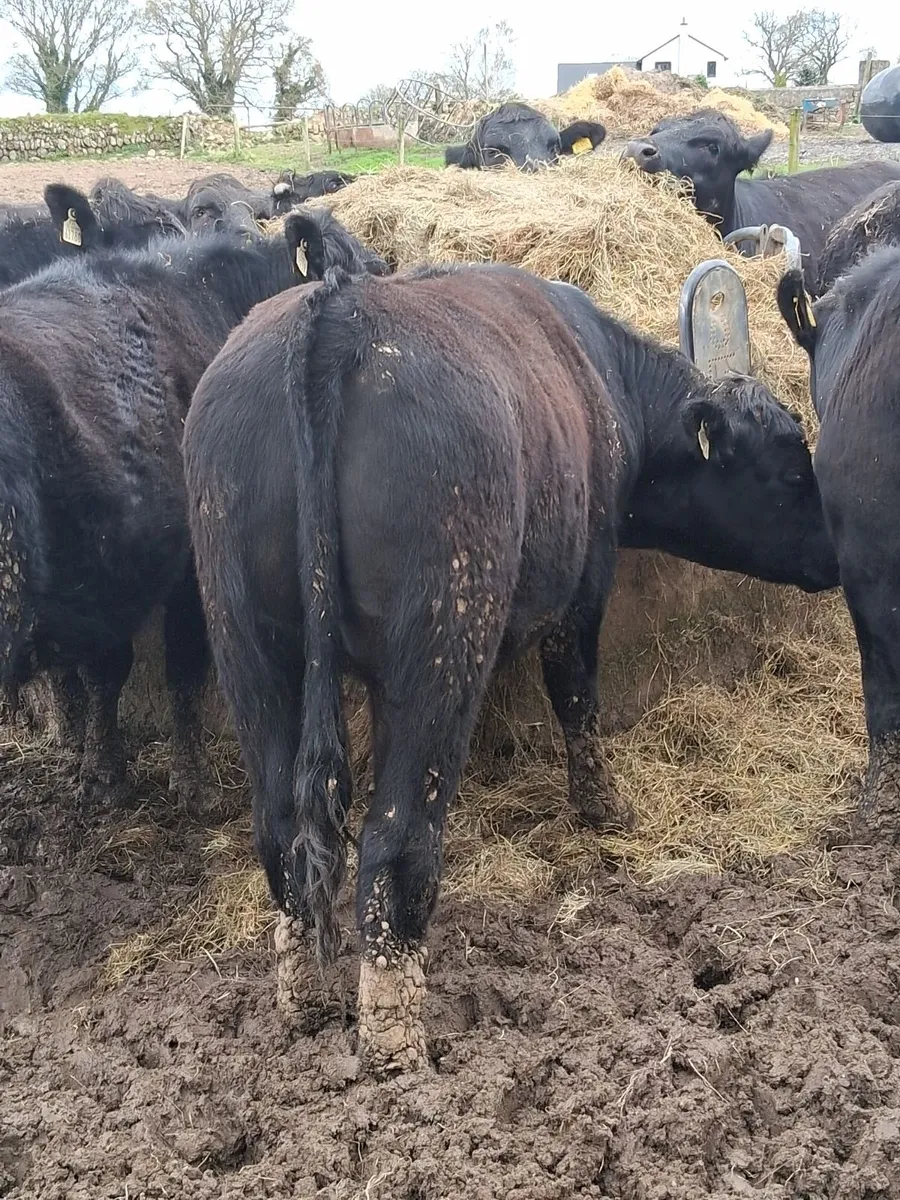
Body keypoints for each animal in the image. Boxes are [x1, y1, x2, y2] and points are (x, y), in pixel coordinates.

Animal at [0, 205, 378, 807]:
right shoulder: (179, 570)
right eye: (372, 272)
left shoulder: (100, 582)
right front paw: (184, 780)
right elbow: (175, 667)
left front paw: (93, 765)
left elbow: (95, 673)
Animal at [183, 257, 838, 1075]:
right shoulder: (582, 590)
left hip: (250, 646)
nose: (836, 548)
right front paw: (604, 809)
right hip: (438, 637)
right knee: (396, 839)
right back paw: (397, 1041)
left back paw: (302, 1001)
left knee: (284, 834)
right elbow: (578, 700)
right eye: (790, 472)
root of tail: (336, 307)